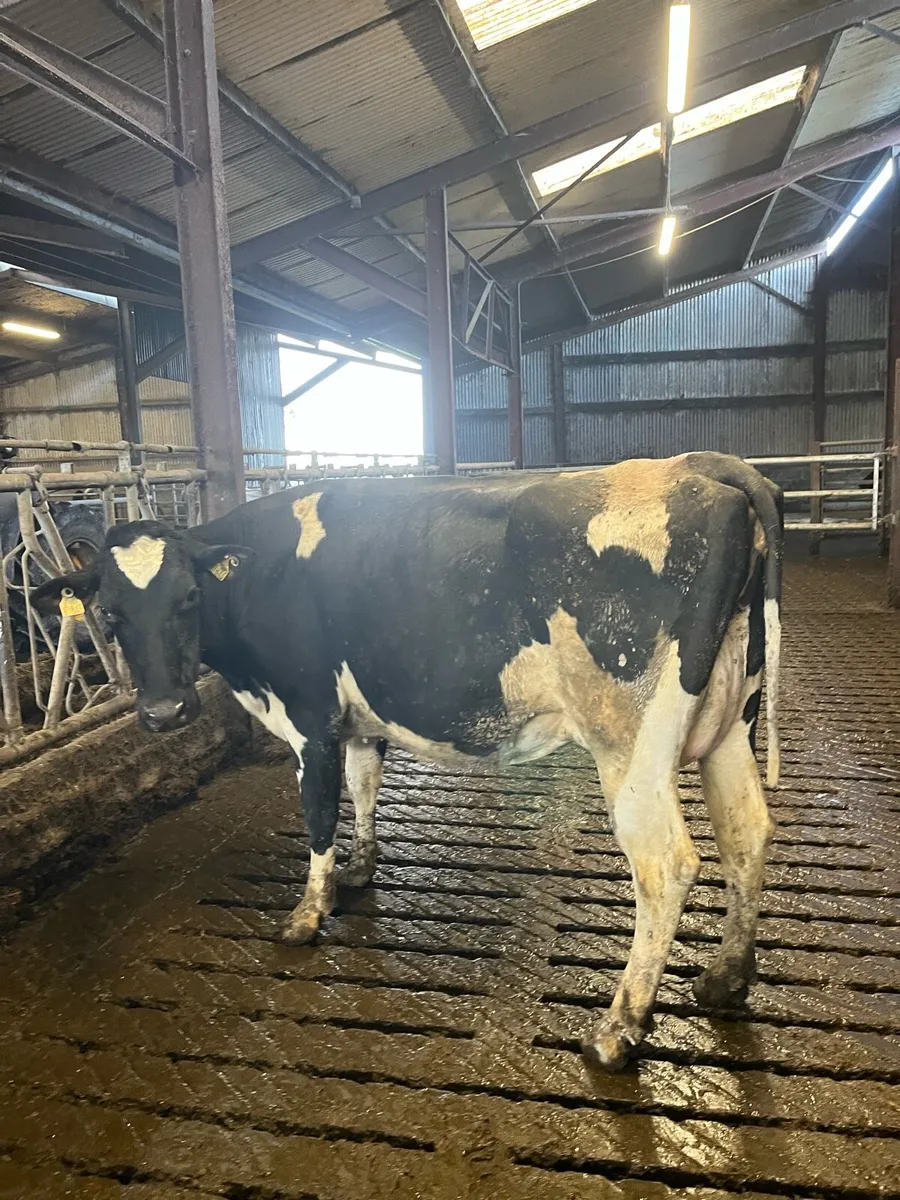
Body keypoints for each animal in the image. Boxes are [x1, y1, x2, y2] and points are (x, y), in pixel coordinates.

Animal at [35, 451, 782, 1071]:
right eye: (110, 613)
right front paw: (360, 870)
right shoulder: (358, 722)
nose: (163, 713)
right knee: (747, 833)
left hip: (631, 742)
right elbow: (364, 787)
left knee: (667, 865)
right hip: (728, 724)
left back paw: (617, 1030)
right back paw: (725, 979)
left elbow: (318, 815)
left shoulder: (309, 718)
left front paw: (307, 915)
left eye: (189, 597)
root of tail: (699, 466)